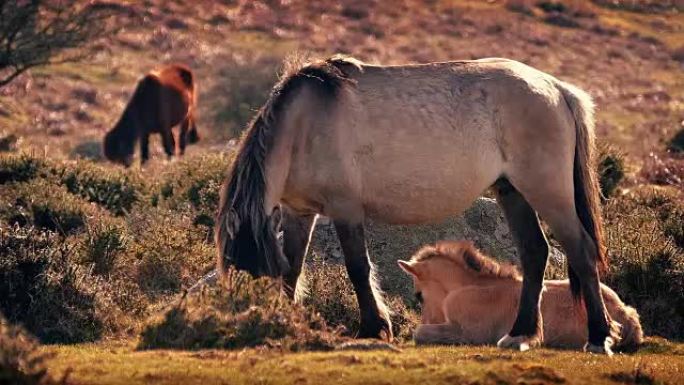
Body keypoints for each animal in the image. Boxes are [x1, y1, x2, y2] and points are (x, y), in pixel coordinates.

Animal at [216, 55, 616, 352]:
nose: (255, 325)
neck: (304, 123)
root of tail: (557, 90)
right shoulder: (299, 212)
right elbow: (293, 268)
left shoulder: (346, 209)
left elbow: (357, 268)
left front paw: (373, 328)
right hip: (513, 192)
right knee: (535, 252)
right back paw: (519, 334)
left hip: (547, 192)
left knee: (580, 251)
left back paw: (598, 338)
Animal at [398, 242, 644, 350]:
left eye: (419, 295)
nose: (427, 318)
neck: (469, 287)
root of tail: (625, 313)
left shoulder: (468, 333)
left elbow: (419, 333)